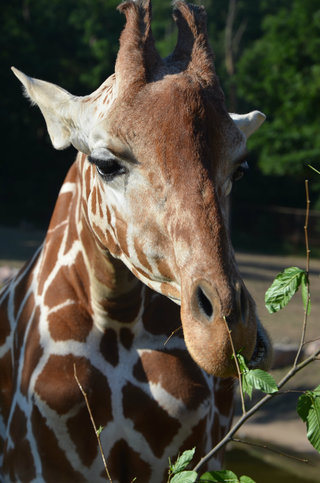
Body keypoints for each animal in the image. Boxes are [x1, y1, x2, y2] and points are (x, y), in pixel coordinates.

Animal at [0, 0, 272, 483]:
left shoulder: (202, 457)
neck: (119, 317)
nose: (226, 334)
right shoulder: (34, 465)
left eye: (240, 168)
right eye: (105, 164)